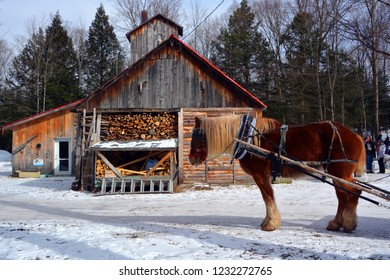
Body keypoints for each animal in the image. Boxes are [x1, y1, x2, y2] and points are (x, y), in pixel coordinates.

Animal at [189, 115, 366, 233]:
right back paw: (337, 223)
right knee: (343, 196)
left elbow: (267, 196)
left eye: (195, 135)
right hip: (337, 174)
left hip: (340, 173)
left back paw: (349, 224)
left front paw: (271, 223)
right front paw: (268, 220)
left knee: (354, 192)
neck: (248, 139)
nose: (191, 159)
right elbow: (267, 196)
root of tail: (356, 135)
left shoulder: (260, 174)